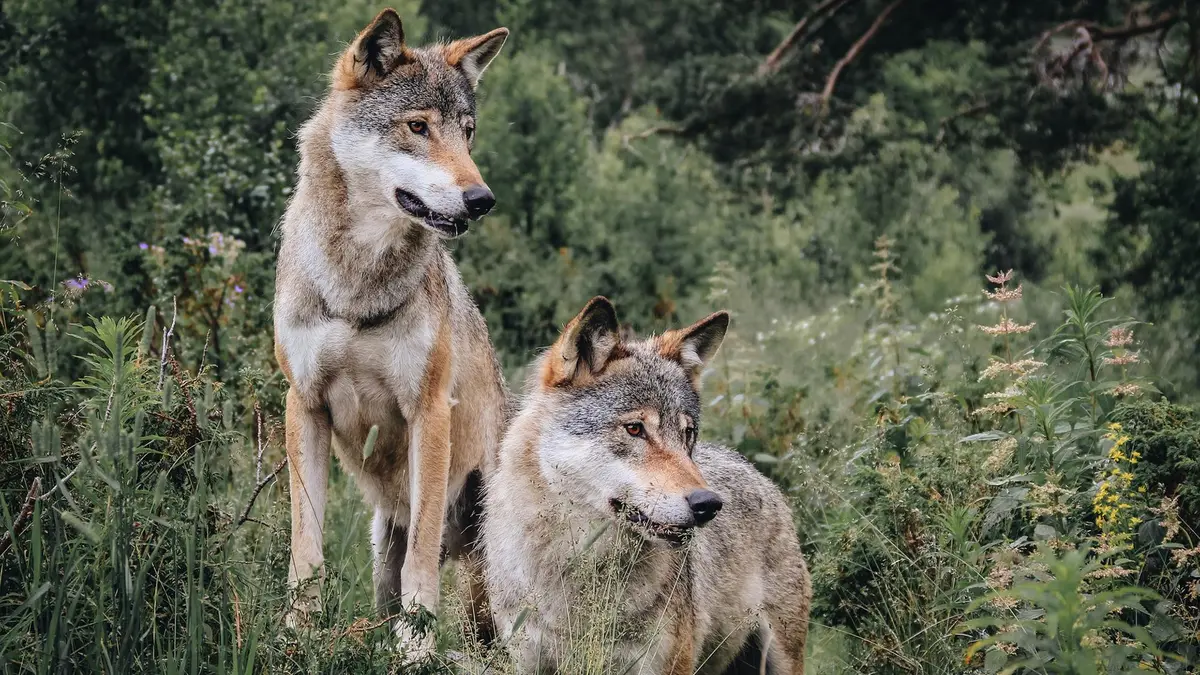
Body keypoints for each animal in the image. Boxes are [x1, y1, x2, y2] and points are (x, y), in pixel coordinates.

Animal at [272, 8, 508, 655]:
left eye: (468, 133)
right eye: (418, 127)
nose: (482, 199)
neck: (357, 286)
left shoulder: (428, 410)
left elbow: (423, 554)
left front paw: (416, 646)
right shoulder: (303, 405)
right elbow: (307, 546)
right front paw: (297, 634)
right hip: (382, 532)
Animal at [482, 297, 812, 674]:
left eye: (687, 433)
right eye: (635, 429)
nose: (709, 504)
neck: (581, 567)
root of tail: (759, 474)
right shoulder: (527, 659)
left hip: (782, 655)